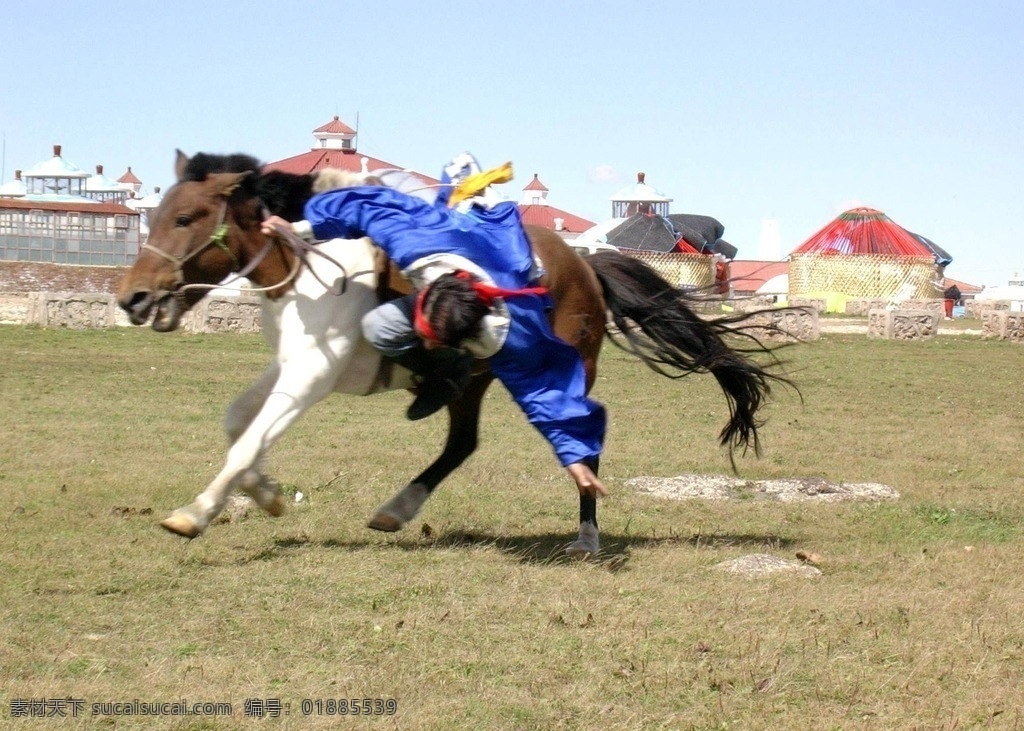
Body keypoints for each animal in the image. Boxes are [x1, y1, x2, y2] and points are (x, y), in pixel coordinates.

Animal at [117, 150, 790, 556]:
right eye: (156, 212)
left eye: (186, 216)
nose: (132, 298)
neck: (306, 260)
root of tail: (586, 264)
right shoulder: (290, 367)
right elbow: (239, 424)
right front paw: (265, 492)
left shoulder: (310, 375)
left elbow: (248, 438)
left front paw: (198, 511)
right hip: (477, 378)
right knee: (462, 442)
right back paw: (397, 507)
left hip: (561, 364)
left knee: (580, 434)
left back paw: (586, 533)